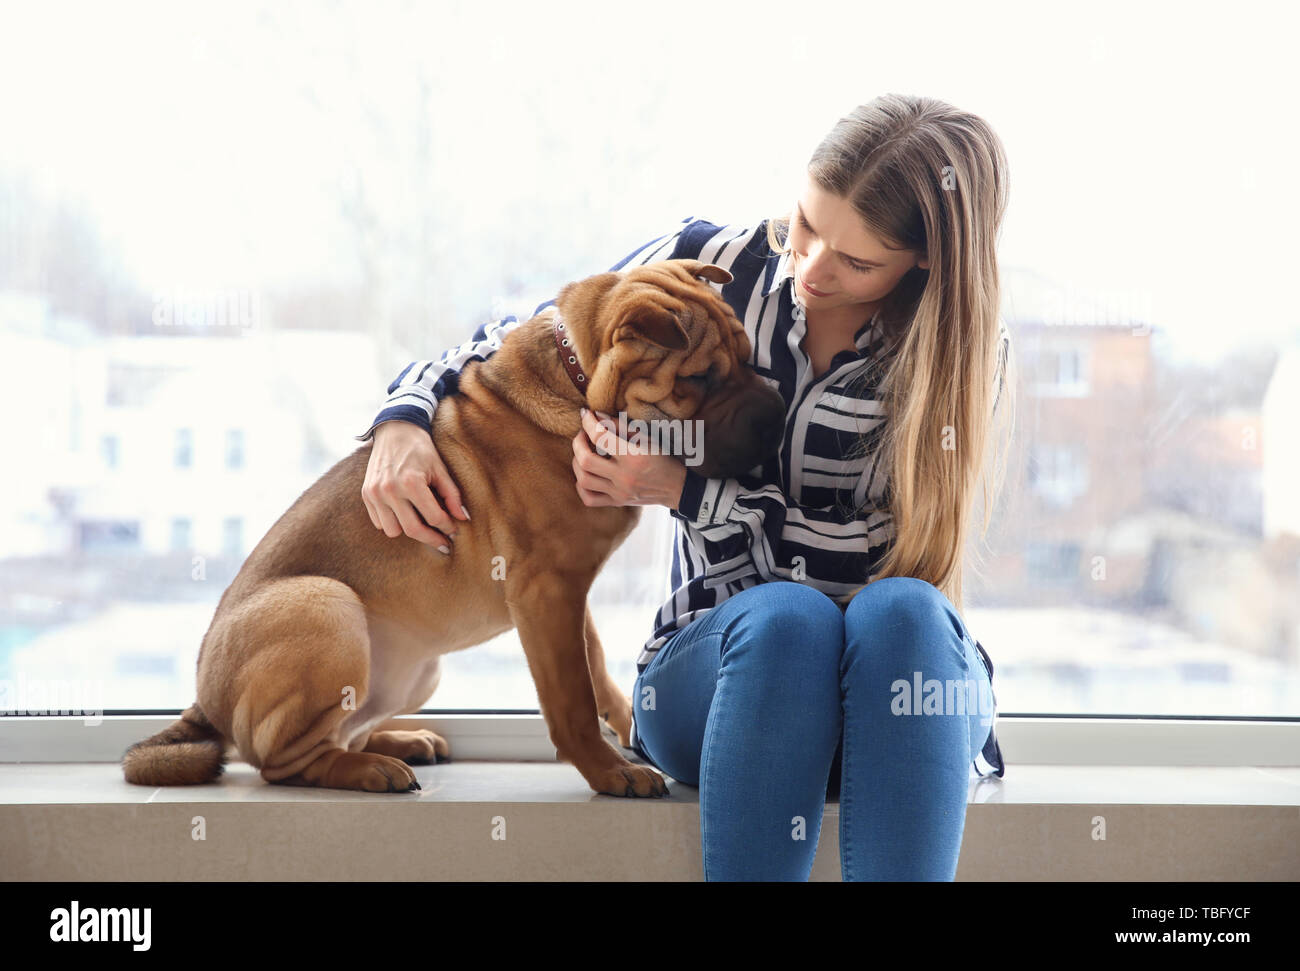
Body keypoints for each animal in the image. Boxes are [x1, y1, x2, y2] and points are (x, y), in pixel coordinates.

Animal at [122, 258, 785, 795]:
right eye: (699, 379)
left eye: (749, 355)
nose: (776, 415)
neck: (577, 385)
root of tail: (204, 703)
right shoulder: (545, 593)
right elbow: (572, 699)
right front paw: (610, 772)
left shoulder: (569, 598)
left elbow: (598, 673)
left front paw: (629, 732)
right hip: (326, 605)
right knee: (282, 762)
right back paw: (371, 770)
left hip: (415, 671)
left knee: (338, 730)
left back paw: (399, 742)